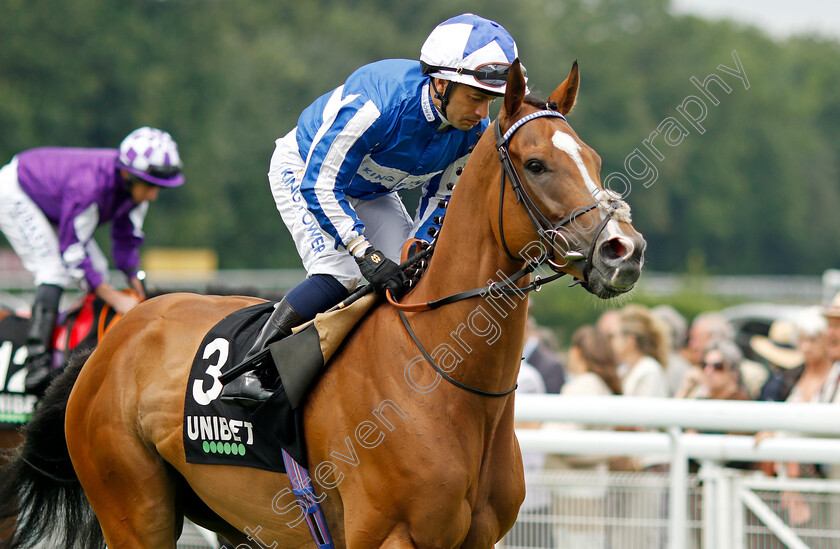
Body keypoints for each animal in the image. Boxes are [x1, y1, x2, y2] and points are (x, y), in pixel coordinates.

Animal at [0, 60, 644, 548]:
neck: (442, 379)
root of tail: (115, 337)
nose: (624, 249)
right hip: (134, 509)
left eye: (590, 156)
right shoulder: (387, 537)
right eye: (536, 164)